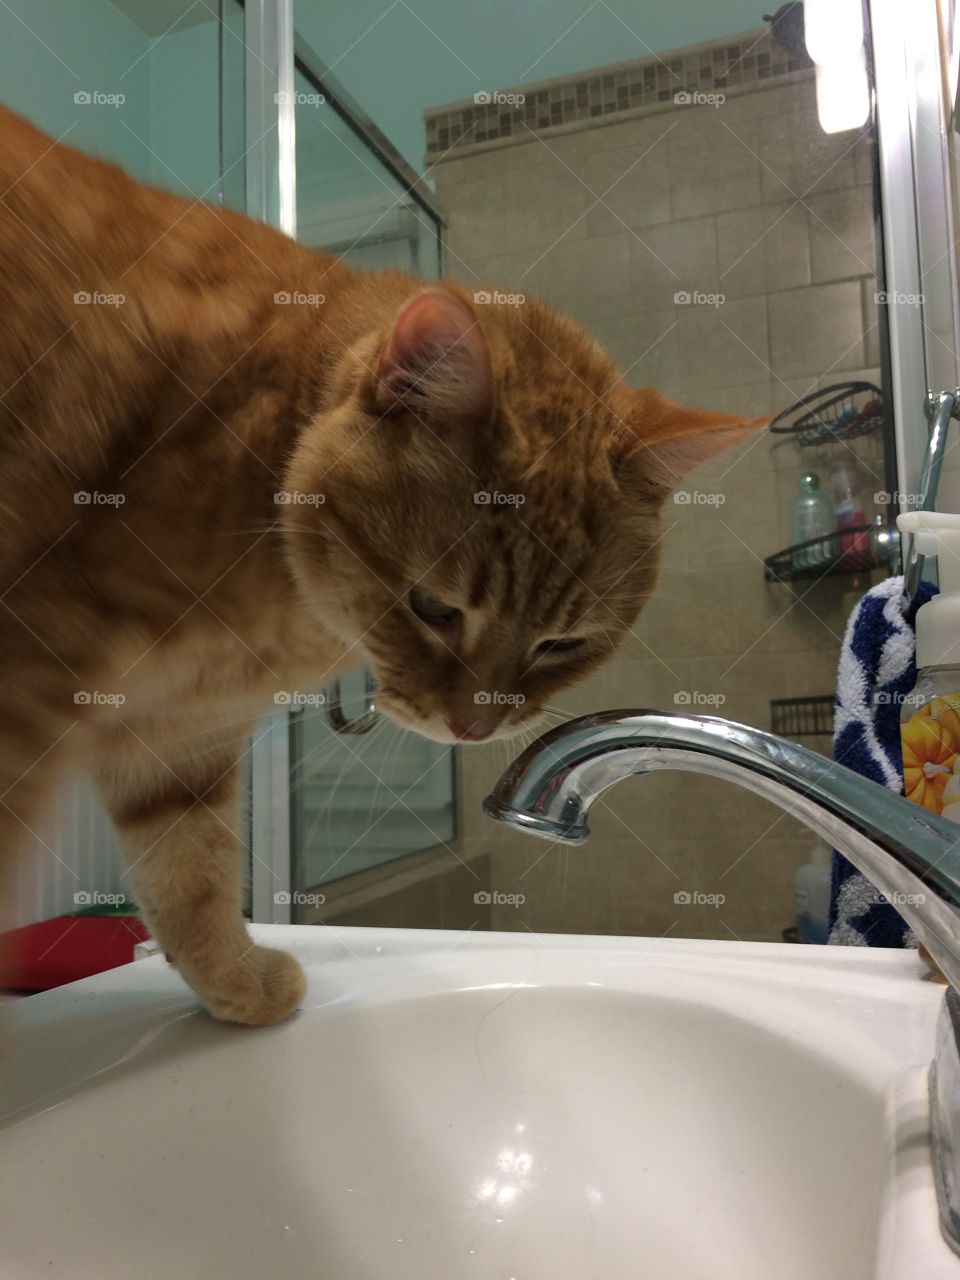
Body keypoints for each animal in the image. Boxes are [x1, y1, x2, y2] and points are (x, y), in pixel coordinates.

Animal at [0, 110, 768, 1024]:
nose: (474, 730)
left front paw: (233, 978)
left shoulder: (178, 735)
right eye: (433, 608)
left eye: (560, 645)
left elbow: (191, 868)